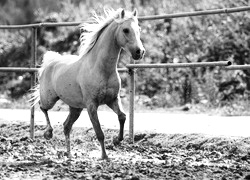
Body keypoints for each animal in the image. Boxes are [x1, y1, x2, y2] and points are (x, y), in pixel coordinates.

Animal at [30, 8, 146, 159]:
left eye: (139, 29)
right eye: (126, 30)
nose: (140, 52)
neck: (101, 69)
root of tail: (50, 62)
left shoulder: (113, 99)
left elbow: (122, 116)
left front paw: (116, 140)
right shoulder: (91, 105)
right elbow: (99, 133)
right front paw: (104, 156)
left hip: (76, 108)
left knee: (66, 126)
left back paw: (69, 154)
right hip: (49, 98)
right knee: (42, 107)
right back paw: (48, 133)